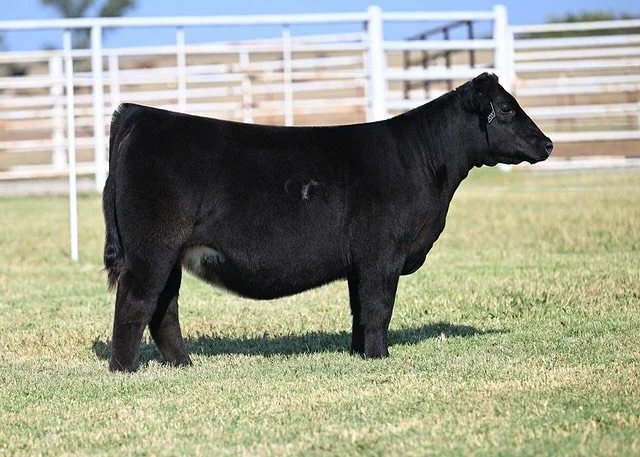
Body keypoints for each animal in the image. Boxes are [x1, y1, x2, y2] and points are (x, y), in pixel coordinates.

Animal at [103, 72, 552, 372]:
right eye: (507, 109)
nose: (548, 144)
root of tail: (138, 115)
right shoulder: (382, 254)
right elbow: (379, 307)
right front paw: (379, 357)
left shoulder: (360, 261)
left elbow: (360, 309)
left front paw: (359, 354)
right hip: (151, 249)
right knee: (135, 302)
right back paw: (125, 369)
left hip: (170, 254)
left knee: (164, 308)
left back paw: (183, 364)